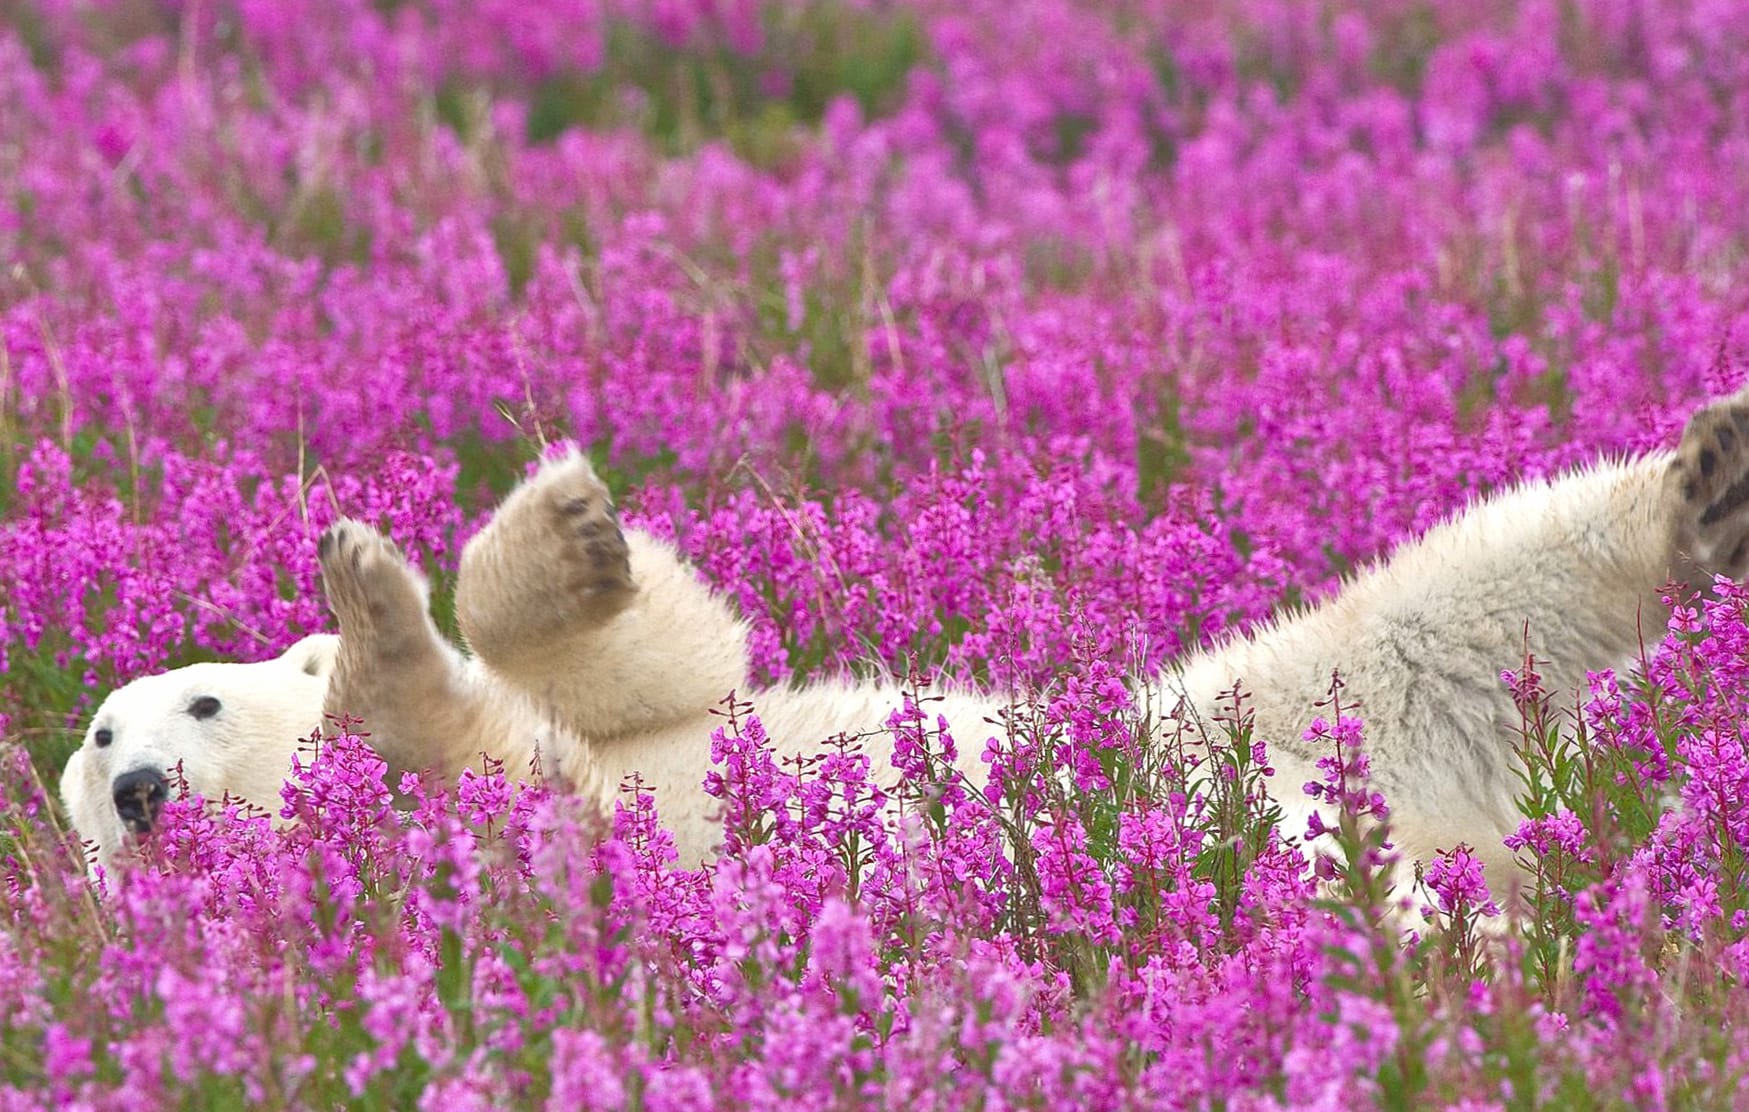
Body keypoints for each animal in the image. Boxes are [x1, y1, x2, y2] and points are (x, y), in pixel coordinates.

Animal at [61, 386, 1749, 881]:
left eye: (189, 703)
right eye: (96, 745)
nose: (136, 791)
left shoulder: (659, 719)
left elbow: (672, 667)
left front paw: (551, 534)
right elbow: (492, 768)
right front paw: (375, 629)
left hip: (1249, 712)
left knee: (1458, 595)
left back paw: (1706, 482)